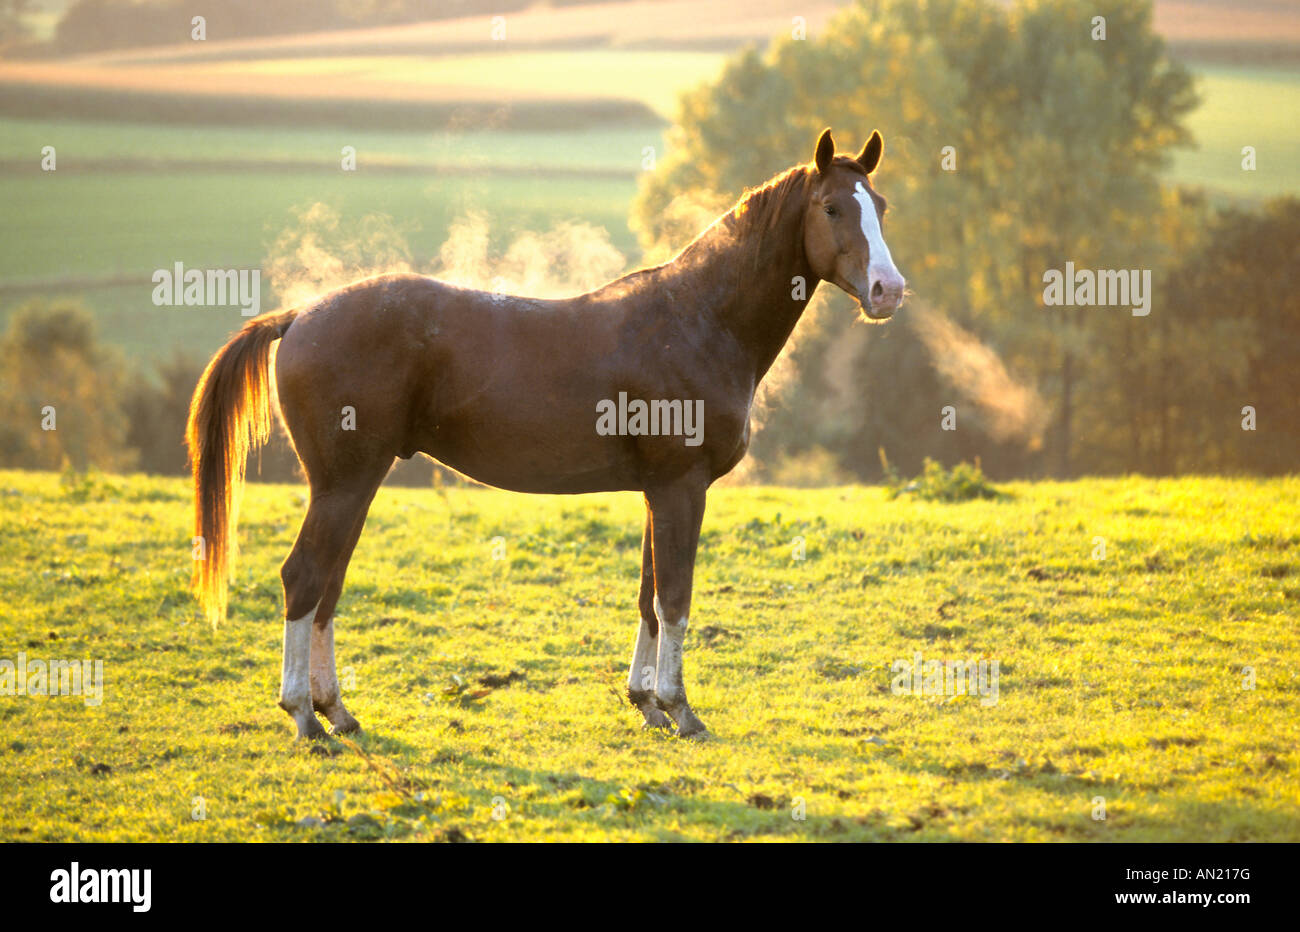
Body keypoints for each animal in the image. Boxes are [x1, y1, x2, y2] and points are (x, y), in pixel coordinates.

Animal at [185, 127, 904, 738]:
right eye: (833, 208)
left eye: (881, 206)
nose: (888, 290)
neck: (698, 320)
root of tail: (301, 315)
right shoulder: (681, 487)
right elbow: (674, 598)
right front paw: (680, 709)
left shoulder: (659, 490)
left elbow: (648, 597)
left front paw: (645, 703)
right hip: (343, 484)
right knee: (304, 579)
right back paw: (304, 716)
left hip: (353, 487)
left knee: (328, 586)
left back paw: (337, 711)